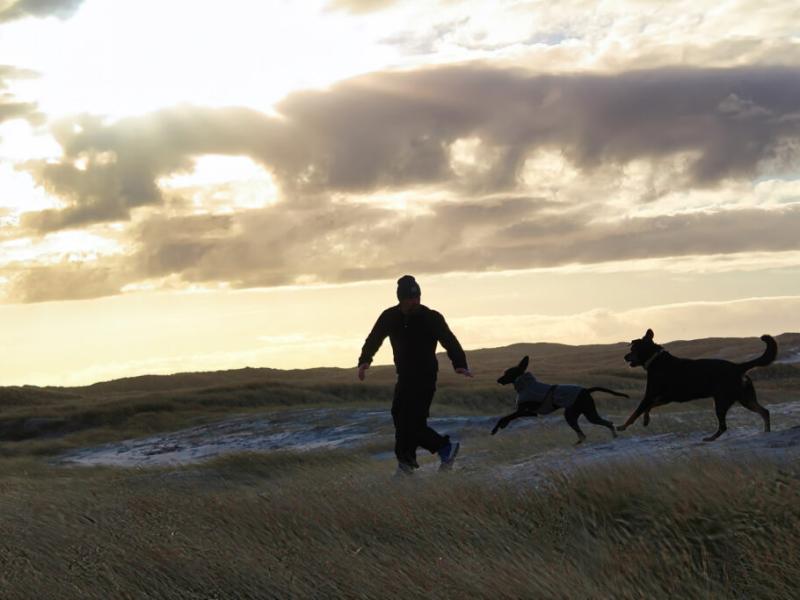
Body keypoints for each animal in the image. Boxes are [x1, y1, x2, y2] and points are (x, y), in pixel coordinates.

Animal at [490, 356, 628, 446]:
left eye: (507, 373)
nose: (498, 380)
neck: (525, 385)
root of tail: (585, 390)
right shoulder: (528, 412)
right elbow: (508, 417)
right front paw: (502, 426)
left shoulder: (527, 411)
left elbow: (505, 417)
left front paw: (496, 429)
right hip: (583, 413)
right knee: (602, 425)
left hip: (577, 414)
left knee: (591, 430)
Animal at [616, 328, 780, 440]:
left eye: (633, 349)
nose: (624, 357)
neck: (655, 360)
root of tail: (738, 367)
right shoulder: (665, 397)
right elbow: (649, 408)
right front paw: (646, 420)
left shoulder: (650, 395)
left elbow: (636, 412)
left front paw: (622, 426)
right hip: (745, 398)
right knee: (764, 412)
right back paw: (767, 432)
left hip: (722, 401)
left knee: (724, 426)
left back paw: (710, 438)